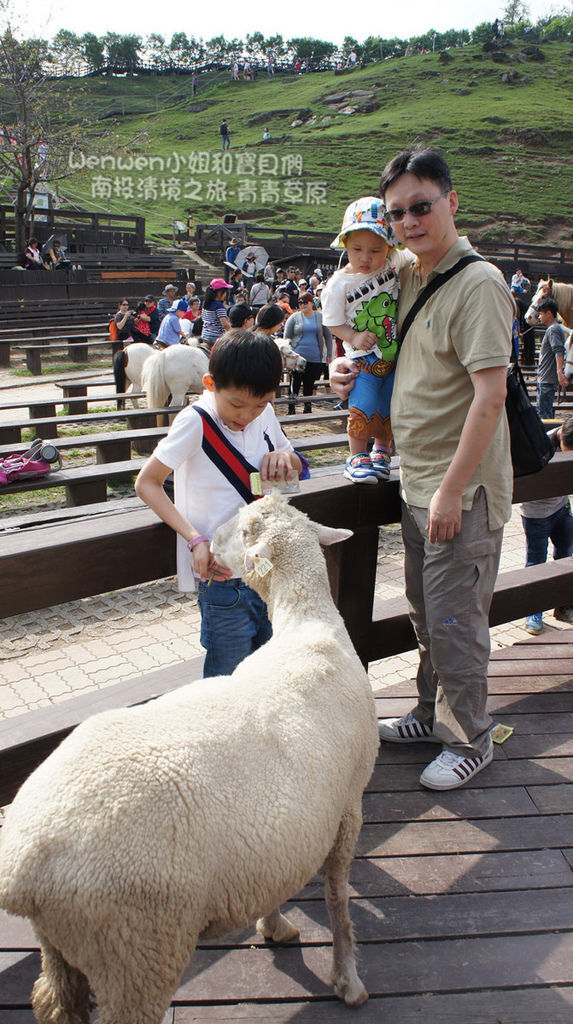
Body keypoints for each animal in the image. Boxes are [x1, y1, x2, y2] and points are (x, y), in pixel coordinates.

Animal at [0, 491, 380, 1019]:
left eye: (240, 528)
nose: (207, 547)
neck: (307, 625)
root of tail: (22, 869)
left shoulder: (282, 833)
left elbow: (289, 884)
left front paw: (274, 926)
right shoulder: (347, 810)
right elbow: (338, 901)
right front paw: (348, 980)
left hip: (63, 947)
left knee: (56, 1000)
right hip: (137, 946)